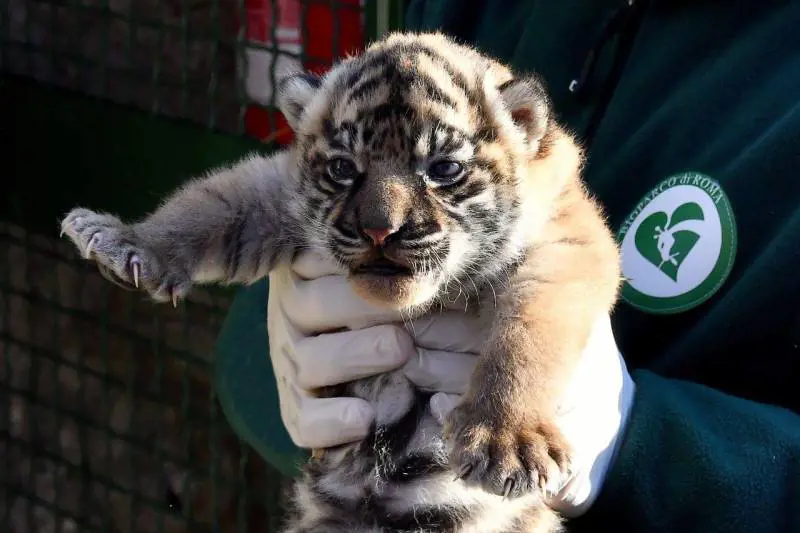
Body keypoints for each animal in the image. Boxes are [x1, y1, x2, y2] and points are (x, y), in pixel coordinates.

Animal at [59, 31, 622, 532]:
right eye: (343, 168)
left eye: (443, 169)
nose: (379, 230)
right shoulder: (276, 191)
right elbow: (208, 204)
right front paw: (125, 242)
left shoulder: (563, 251)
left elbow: (528, 338)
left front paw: (505, 440)